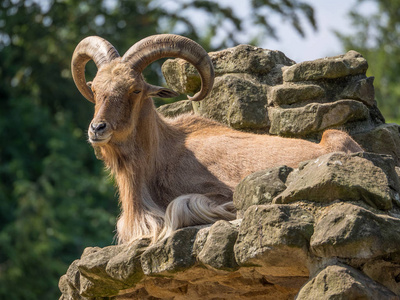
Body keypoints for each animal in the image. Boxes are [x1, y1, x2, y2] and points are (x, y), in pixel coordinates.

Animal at [71, 34, 362, 244]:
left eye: (135, 89)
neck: (159, 157)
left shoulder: (218, 191)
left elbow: (180, 207)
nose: (97, 128)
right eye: (95, 88)